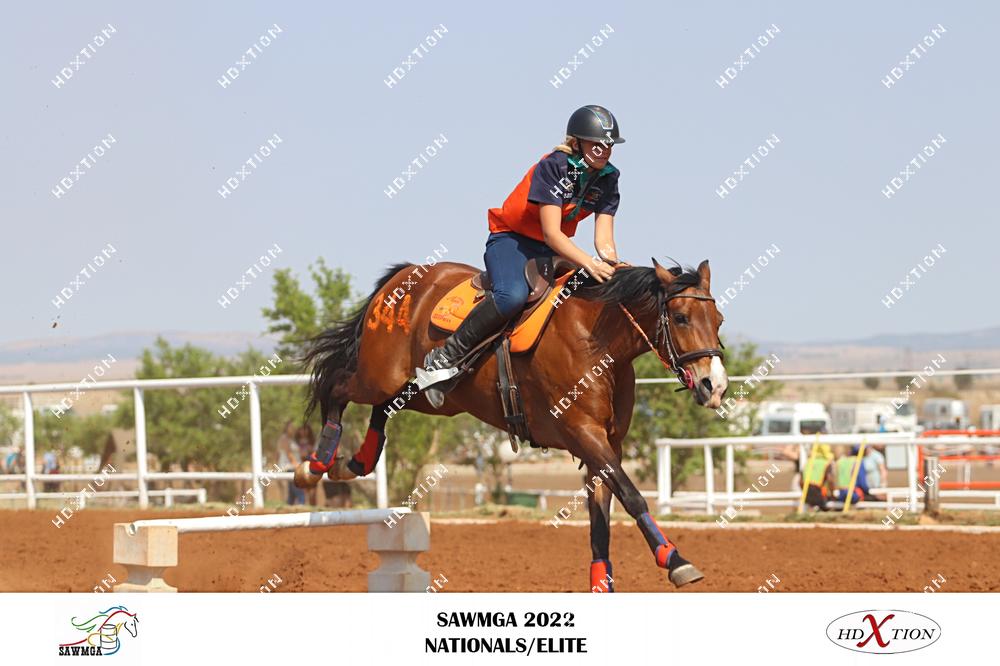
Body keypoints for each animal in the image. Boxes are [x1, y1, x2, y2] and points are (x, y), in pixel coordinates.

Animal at [295, 257, 727, 590]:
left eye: (719, 319)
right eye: (680, 317)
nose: (715, 385)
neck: (598, 340)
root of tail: (405, 275)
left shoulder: (605, 445)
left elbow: (601, 520)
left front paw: (605, 582)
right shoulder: (584, 435)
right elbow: (633, 496)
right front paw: (675, 560)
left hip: (429, 396)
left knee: (383, 409)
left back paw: (354, 463)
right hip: (378, 375)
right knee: (337, 386)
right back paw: (315, 464)